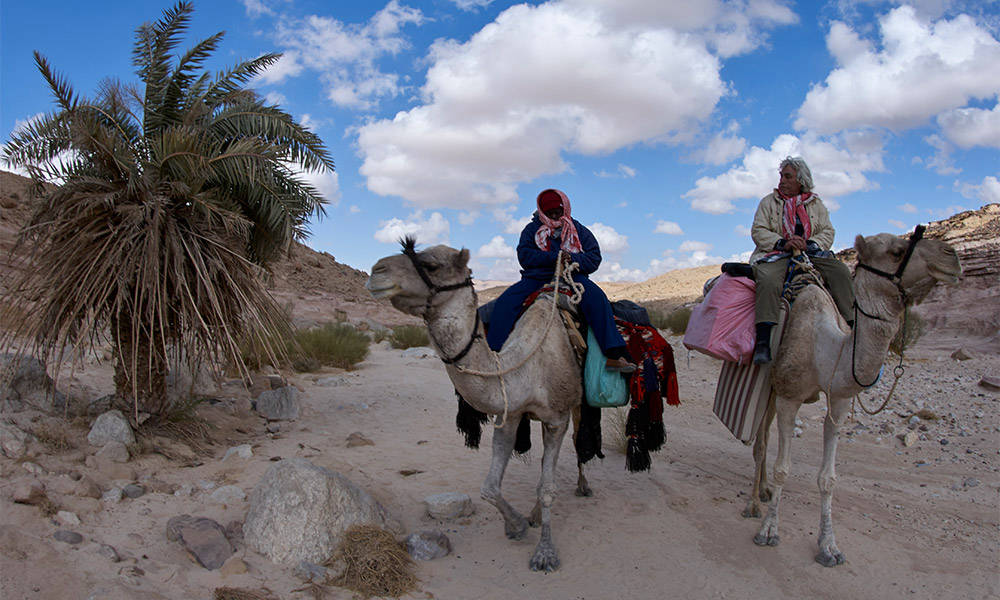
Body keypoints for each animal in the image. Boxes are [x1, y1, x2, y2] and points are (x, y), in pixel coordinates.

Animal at [366, 239, 584, 572]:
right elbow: (490, 487)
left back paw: (583, 486)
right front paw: (517, 525)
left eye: (431, 265)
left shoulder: (557, 418)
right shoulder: (510, 414)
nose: (376, 270)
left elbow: (547, 489)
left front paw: (545, 553)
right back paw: (535, 515)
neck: (526, 367)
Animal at [744, 230, 960, 568]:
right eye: (897, 251)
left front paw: (829, 547)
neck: (826, 345)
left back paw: (764, 491)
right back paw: (754, 503)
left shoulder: (840, 401)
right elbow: (783, 468)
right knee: (762, 440)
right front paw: (768, 531)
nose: (952, 256)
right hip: (770, 383)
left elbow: (828, 478)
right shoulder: (790, 396)